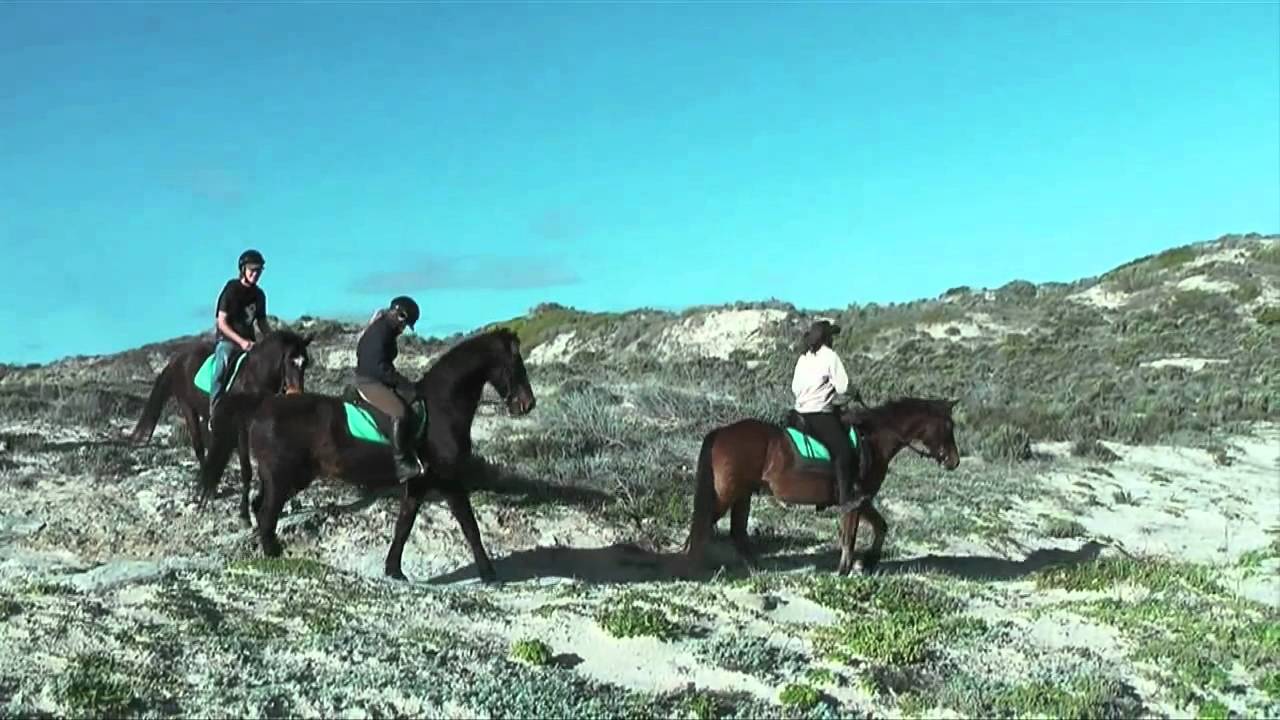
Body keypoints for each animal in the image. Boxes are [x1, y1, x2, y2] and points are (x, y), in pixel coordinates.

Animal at [198, 327, 536, 584]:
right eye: (515, 363)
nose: (526, 404)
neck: (441, 408)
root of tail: (263, 405)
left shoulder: (419, 484)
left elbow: (404, 526)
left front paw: (394, 570)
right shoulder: (449, 481)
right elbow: (470, 526)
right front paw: (489, 574)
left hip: (284, 478)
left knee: (261, 509)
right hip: (282, 478)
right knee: (267, 514)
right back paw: (275, 557)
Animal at [682, 397, 961, 576]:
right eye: (949, 426)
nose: (954, 461)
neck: (872, 440)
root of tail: (721, 432)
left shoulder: (862, 500)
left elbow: (880, 526)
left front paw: (867, 562)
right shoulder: (855, 499)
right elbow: (850, 535)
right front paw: (846, 569)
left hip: (742, 495)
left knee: (735, 532)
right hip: (726, 495)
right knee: (703, 527)